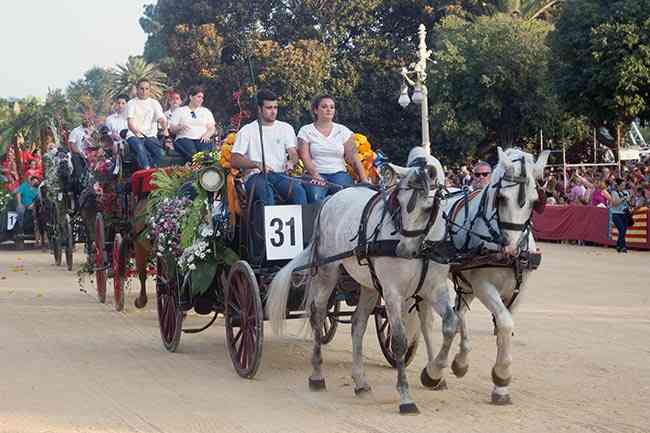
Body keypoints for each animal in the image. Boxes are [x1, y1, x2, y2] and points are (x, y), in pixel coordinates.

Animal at [264, 147, 456, 414]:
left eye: (428, 208)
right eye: (400, 202)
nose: (403, 250)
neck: (423, 246)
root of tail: (331, 199)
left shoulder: (435, 289)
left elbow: (450, 325)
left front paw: (434, 373)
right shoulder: (393, 292)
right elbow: (399, 341)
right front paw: (405, 397)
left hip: (369, 286)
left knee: (357, 324)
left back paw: (360, 381)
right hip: (327, 272)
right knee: (318, 315)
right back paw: (317, 376)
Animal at [426, 147, 548, 404]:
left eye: (534, 202)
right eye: (501, 198)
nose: (511, 250)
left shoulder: (519, 290)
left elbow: (505, 325)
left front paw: (500, 387)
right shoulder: (483, 285)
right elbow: (504, 323)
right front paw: (501, 375)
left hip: (465, 282)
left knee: (459, 313)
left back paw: (460, 361)